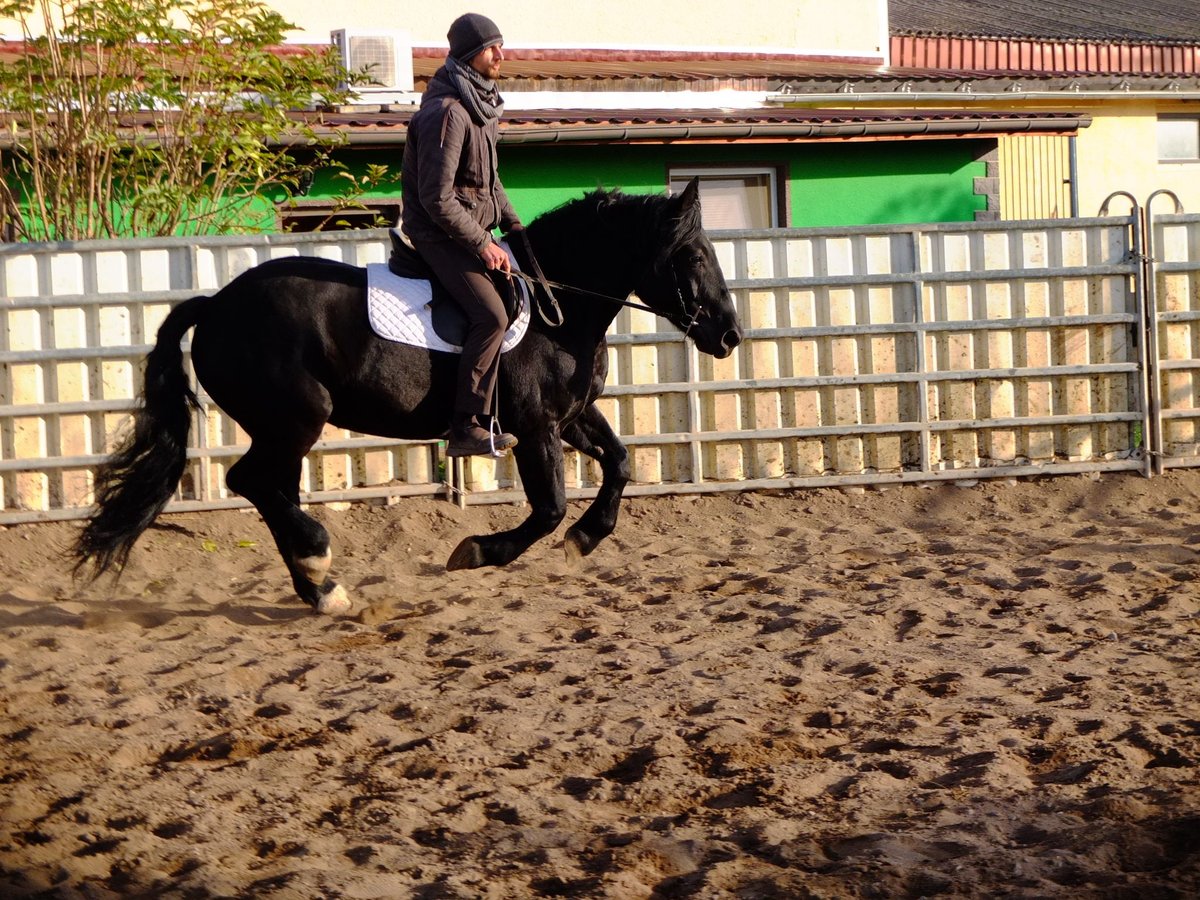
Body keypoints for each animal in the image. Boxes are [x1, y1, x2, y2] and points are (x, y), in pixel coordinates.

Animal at [72, 177, 739, 614]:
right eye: (691, 255)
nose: (729, 335)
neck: (558, 307)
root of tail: (215, 306)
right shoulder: (535, 428)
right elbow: (548, 509)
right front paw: (478, 551)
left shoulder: (572, 417)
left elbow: (620, 464)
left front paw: (587, 537)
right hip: (296, 420)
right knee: (252, 482)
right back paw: (320, 568)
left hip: (285, 429)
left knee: (272, 490)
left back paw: (318, 588)